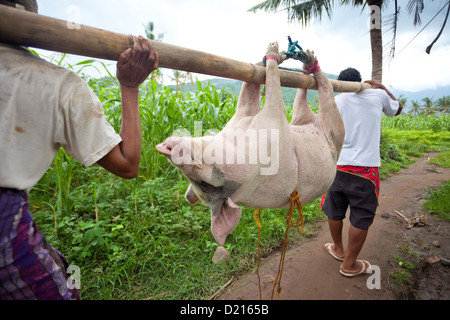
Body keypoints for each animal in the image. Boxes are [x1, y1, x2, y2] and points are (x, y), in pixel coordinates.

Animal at [156, 42, 344, 248]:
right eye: (203, 184)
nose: (162, 148)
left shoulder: (243, 116)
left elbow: (248, 94)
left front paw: (269, 55)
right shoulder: (273, 124)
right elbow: (271, 93)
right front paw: (272, 50)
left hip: (303, 119)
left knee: (303, 94)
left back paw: (306, 61)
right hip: (334, 127)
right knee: (325, 92)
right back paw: (311, 63)